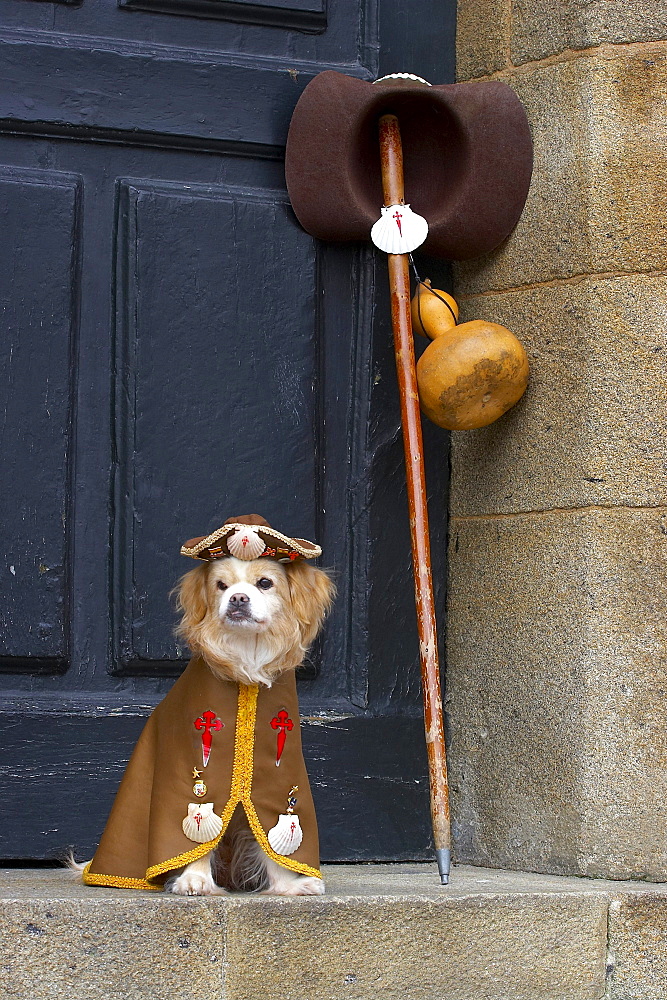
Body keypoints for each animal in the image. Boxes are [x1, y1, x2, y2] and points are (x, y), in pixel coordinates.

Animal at [74, 516, 334, 900]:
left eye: (265, 583)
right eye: (221, 586)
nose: (237, 598)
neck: (245, 658)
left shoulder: (278, 783)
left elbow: (270, 838)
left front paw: (289, 885)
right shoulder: (189, 777)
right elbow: (197, 837)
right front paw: (194, 879)